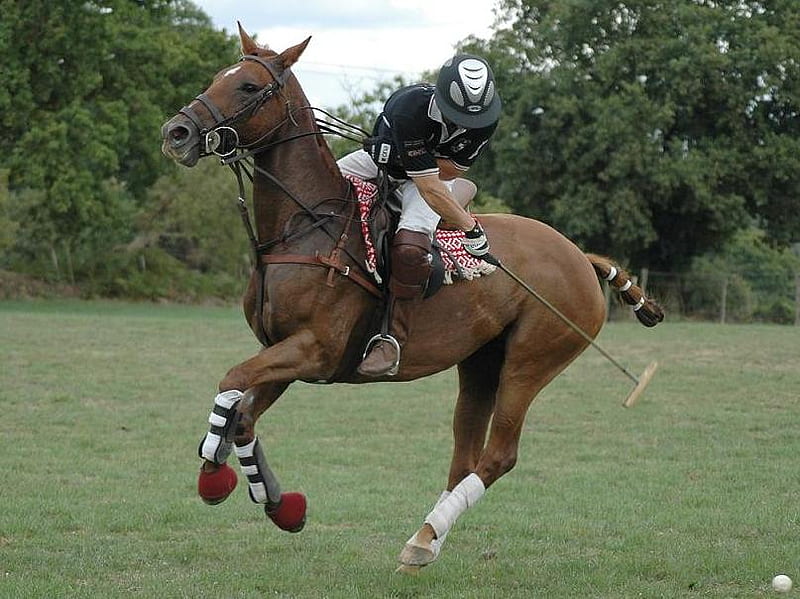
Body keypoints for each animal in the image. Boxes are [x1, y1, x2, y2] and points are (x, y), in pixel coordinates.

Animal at [161, 25, 664, 572]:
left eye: (250, 86)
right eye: (219, 76)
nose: (177, 133)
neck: (303, 225)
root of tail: (578, 256)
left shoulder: (314, 348)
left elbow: (231, 383)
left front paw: (214, 476)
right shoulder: (285, 352)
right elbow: (243, 415)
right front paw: (278, 502)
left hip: (532, 360)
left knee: (499, 454)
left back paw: (423, 538)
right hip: (481, 361)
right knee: (465, 456)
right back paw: (426, 541)